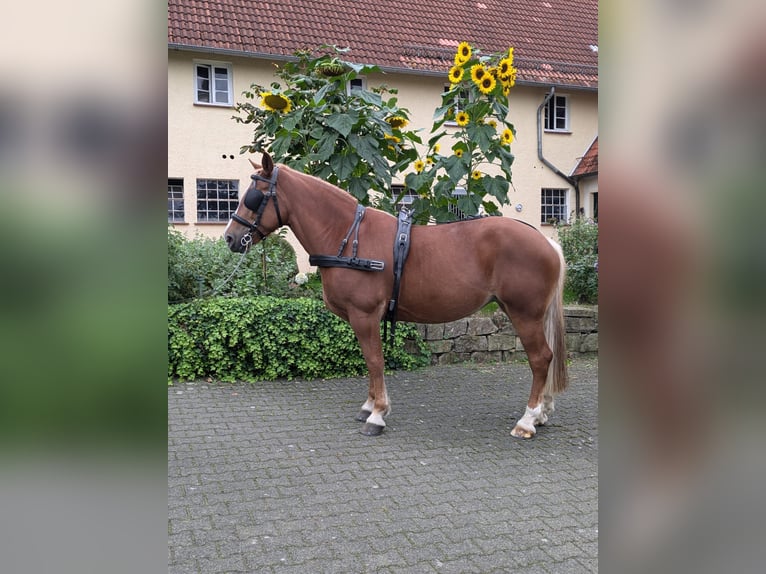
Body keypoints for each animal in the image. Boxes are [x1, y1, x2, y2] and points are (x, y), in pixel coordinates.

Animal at [225, 151, 568, 438]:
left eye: (254, 197)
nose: (230, 238)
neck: (348, 237)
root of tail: (546, 241)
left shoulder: (364, 315)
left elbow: (374, 360)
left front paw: (377, 415)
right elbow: (369, 360)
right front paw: (370, 406)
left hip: (524, 313)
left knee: (541, 358)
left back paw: (527, 420)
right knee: (546, 357)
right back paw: (542, 413)